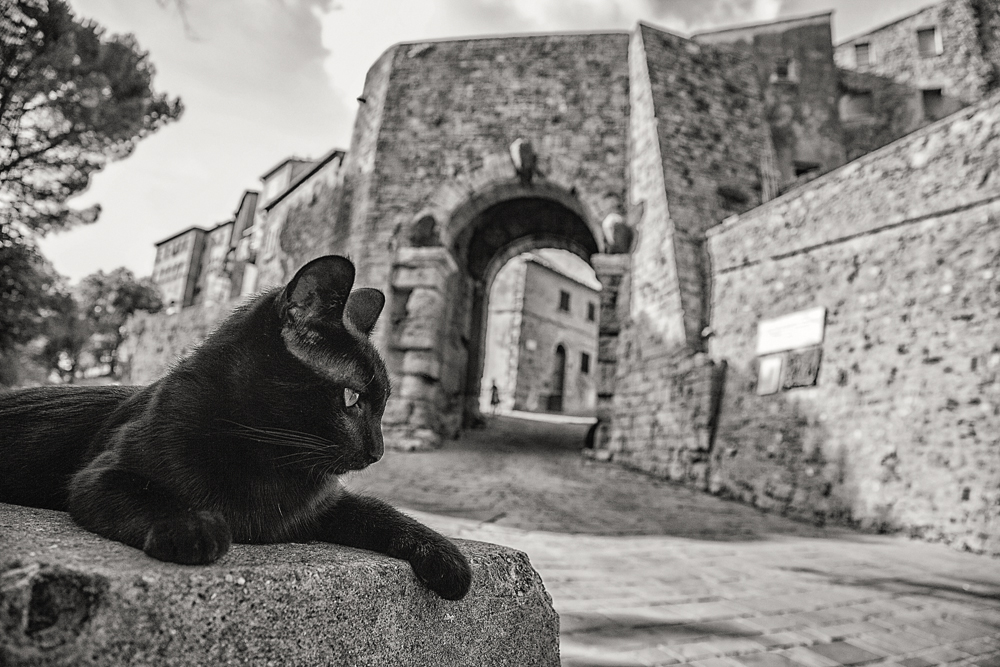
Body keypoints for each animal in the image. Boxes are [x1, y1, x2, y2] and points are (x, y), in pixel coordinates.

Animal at [0, 254, 472, 600]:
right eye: (352, 399)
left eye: (384, 404)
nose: (377, 451)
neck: (267, 458)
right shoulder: (99, 476)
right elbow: (149, 493)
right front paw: (194, 526)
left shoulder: (325, 506)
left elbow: (382, 512)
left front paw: (448, 558)